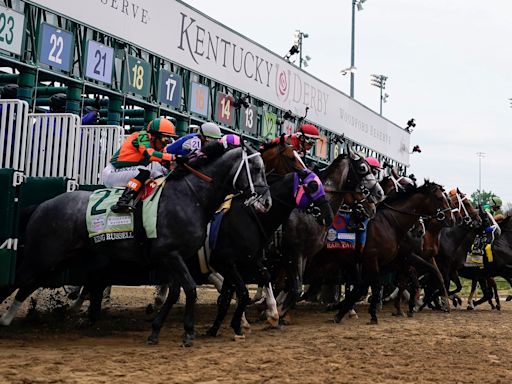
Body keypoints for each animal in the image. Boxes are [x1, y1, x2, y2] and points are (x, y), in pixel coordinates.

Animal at [0, 142, 272, 346]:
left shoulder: (176, 257)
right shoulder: (171, 255)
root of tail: (41, 205)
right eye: (257, 167)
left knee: (28, 284)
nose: (266, 201)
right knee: (17, 281)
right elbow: (190, 290)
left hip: (57, 259)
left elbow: (176, 292)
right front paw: (188, 332)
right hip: (42, 255)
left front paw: (155, 331)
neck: (190, 196)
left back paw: (8, 319)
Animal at [334, 182, 454, 326]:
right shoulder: (374, 258)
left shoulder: (403, 259)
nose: (451, 219)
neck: (390, 223)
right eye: (440, 198)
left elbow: (429, 275)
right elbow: (375, 284)